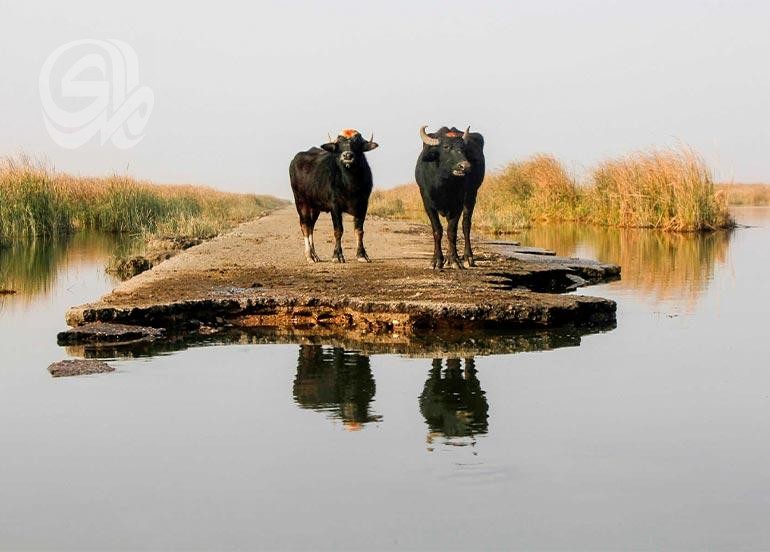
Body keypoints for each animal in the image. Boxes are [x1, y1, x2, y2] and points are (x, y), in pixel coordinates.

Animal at [288, 132, 378, 266]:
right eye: (339, 144)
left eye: (357, 143)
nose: (347, 155)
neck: (350, 185)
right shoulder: (335, 206)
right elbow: (338, 230)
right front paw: (337, 256)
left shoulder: (363, 205)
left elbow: (359, 231)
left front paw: (362, 255)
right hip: (300, 201)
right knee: (305, 226)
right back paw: (309, 256)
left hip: (315, 207)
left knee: (311, 226)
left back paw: (315, 256)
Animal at [412, 125, 484, 272]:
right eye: (446, 147)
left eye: (463, 148)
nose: (465, 166)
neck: (443, 185)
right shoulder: (427, 202)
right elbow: (437, 230)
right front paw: (436, 260)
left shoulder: (458, 203)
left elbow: (452, 231)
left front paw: (455, 260)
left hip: (472, 195)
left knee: (466, 224)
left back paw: (467, 257)